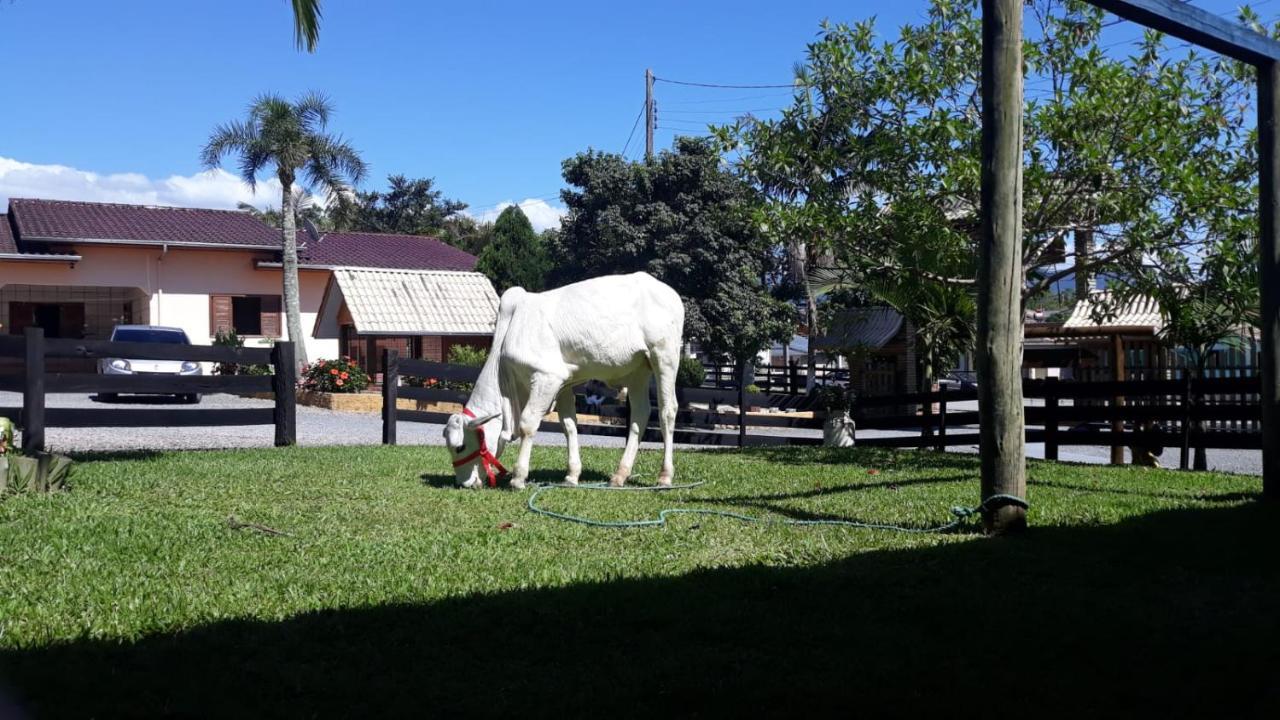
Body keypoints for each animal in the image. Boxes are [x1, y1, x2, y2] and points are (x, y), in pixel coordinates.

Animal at [445, 272, 686, 486]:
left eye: (460, 447)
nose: (465, 483)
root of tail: (668, 292)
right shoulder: (562, 383)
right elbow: (568, 425)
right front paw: (571, 475)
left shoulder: (546, 377)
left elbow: (527, 424)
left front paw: (518, 477)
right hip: (637, 371)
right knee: (640, 414)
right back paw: (620, 475)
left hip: (664, 356)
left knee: (667, 411)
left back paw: (665, 476)